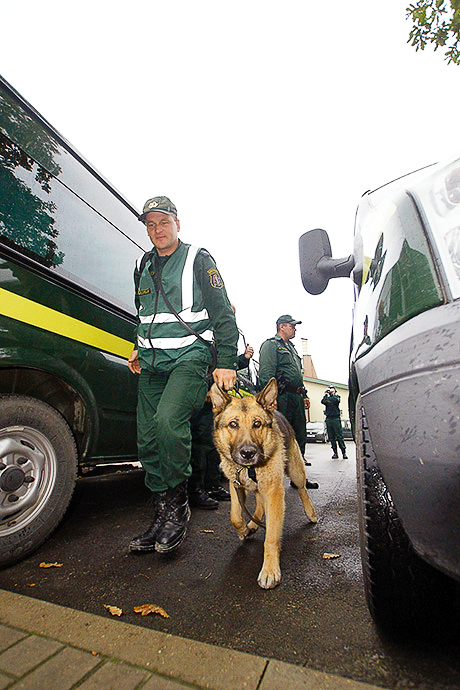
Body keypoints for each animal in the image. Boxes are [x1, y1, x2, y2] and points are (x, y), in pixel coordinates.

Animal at [208, 376, 316, 584]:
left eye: (257, 424)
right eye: (233, 424)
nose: (248, 453)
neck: (248, 469)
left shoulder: (274, 491)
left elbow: (272, 536)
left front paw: (270, 570)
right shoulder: (236, 485)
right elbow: (235, 516)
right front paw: (243, 529)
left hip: (295, 471)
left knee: (302, 489)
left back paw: (310, 513)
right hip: (257, 487)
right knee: (259, 504)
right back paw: (252, 525)